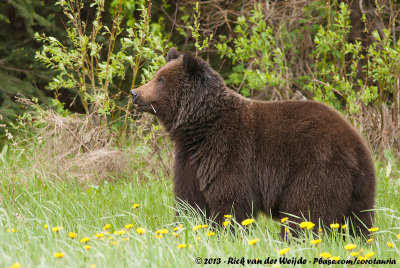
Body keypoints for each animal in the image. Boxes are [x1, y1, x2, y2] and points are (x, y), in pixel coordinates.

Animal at [130, 48, 376, 237]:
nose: (134, 92)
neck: (199, 129)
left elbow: (230, 200)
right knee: (359, 219)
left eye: (160, 79)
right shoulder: (191, 159)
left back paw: (293, 238)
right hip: (357, 189)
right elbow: (189, 199)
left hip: (315, 168)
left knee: (306, 210)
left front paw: (227, 233)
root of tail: (356, 145)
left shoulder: (228, 152)